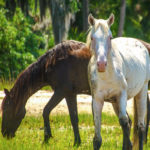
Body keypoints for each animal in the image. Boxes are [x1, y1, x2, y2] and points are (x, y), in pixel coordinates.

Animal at [1, 39, 150, 146]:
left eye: (7, 110)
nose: (4, 134)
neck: (54, 61)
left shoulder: (61, 92)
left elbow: (46, 111)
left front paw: (46, 138)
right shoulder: (70, 94)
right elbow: (74, 118)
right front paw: (77, 142)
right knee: (129, 122)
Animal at [87, 13, 149, 150]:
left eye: (110, 37)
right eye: (92, 38)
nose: (101, 64)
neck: (107, 74)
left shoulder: (121, 95)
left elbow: (124, 121)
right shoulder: (97, 99)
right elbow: (97, 139)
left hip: (142, 91)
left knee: (140, 127)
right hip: (114, 102)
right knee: (130, 123)